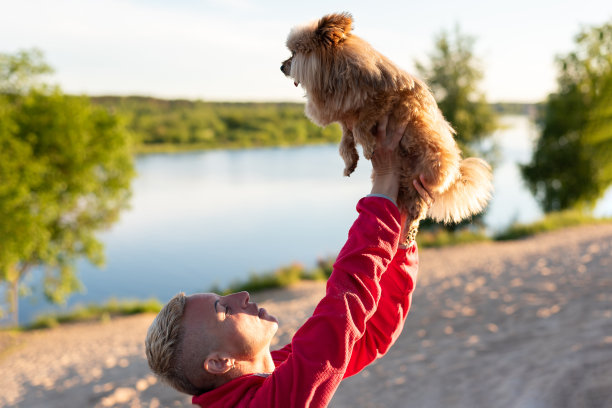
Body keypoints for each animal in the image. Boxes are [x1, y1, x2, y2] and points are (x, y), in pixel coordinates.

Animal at [282, 11, 492, 242]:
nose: (281, 66)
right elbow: (345, 141)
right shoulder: (345, 119)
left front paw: (368, 147)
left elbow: (360, 126)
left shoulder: (383, 100)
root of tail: (453, 174)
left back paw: (408, 235)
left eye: (294, 53)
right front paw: (350, 162)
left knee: (416, 211)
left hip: (421, 173)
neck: (335, 74)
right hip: (405, 182)